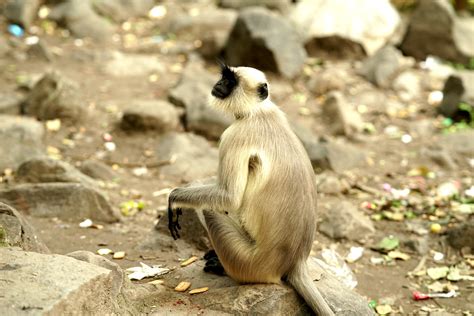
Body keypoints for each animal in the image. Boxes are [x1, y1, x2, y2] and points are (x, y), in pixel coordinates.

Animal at [168, 65, 336, 316]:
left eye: (229, 81)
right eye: (224, 77)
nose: (218, 84)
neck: (257, 112)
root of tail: (296, 261)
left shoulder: (234, 135)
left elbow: (229, 197)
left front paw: (176, 197)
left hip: (249, 262)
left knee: (210, 210)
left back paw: (222, 267)